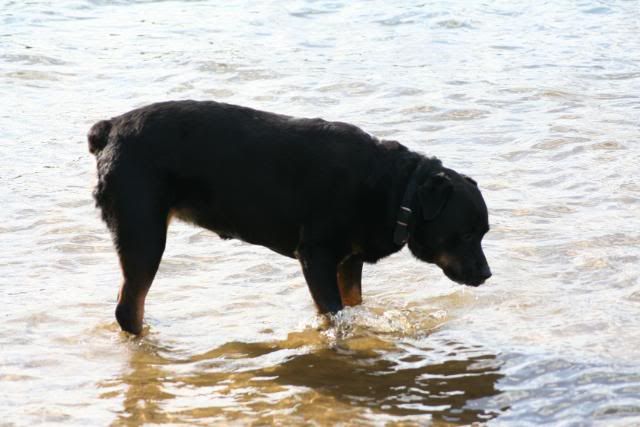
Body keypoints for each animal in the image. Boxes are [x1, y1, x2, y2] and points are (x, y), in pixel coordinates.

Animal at [89, 100, 490, 334]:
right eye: (467, 234)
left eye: (484, 232)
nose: (487, 274)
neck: (395, 191)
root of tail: (110, 128)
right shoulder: (316, 256)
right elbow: (334, 313)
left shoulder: (349, 260)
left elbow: (353, 304)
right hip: (143, 234)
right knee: (128, 307)